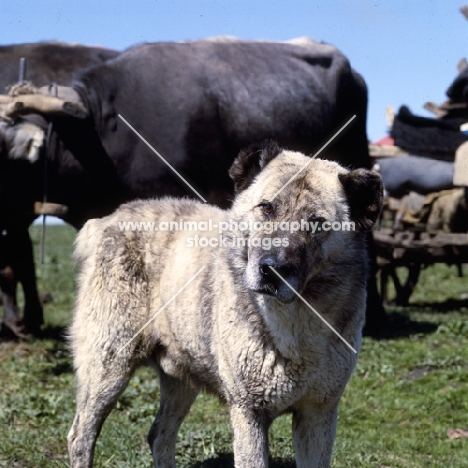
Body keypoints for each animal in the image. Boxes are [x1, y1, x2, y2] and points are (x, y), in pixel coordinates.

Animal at [67, 141, 382, 466]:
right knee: (80, 437)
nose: (271, 270)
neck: (294, 322)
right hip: (108, 366)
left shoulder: (318, 414)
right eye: (267, 208)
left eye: (317, 224)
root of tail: (108, 219)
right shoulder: (248, 414)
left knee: (159, 436)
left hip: (179, 377)